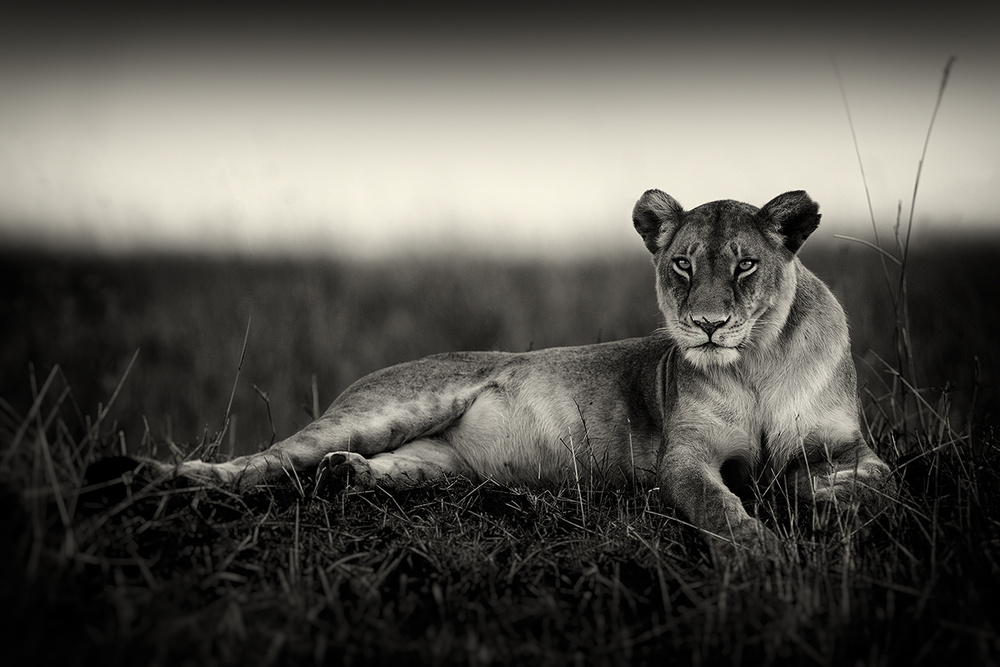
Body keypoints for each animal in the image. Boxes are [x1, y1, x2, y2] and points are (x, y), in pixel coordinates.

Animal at [127, 190, 891, 559]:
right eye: (682, 264)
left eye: (744, 265)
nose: (706, 324)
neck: (755, 363)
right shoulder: (686, 457)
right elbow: (717, 506)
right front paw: (763, 548)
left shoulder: (846, 445)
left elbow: (879, 483)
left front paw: (819, 506)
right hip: (388, 409)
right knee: (266, 460)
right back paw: (166, 475)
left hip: (438, 465)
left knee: (363, 469)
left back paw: (346, 477)